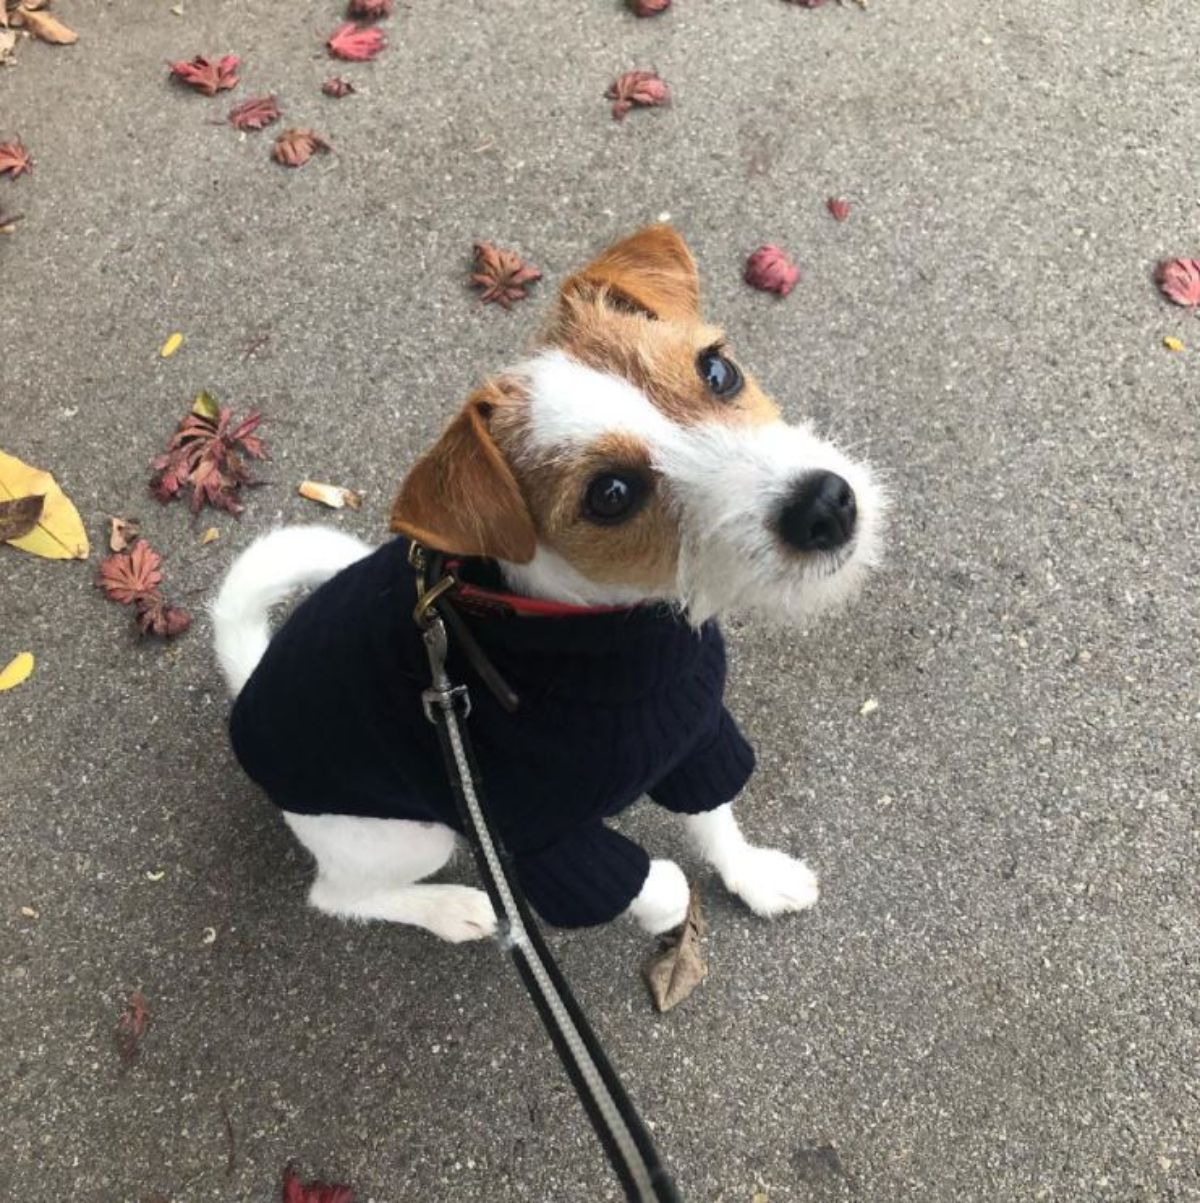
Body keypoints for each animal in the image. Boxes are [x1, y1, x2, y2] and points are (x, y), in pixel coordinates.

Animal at [211, 223, 889, 938]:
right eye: (611, 494)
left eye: (717, 370)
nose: (825, 506)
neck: (602, 632)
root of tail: (247, 684)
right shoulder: (539, 843)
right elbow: (656, 885)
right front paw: (671, 909)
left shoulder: (698, 738)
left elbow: (715, 820)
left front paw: (754, 876)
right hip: (413, 834)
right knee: (338, 895)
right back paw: (458, 908)